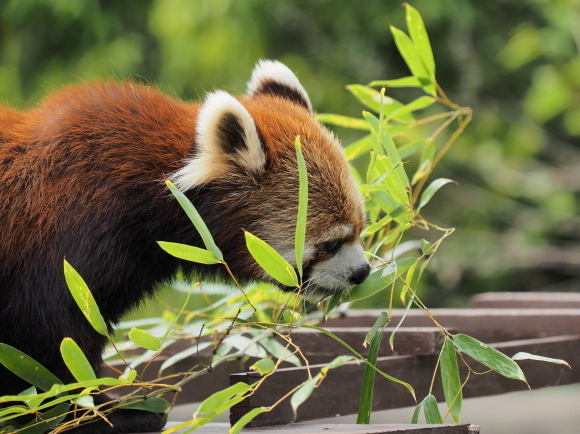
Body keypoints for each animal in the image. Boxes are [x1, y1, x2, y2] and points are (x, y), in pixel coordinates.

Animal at [0, 60, 372, 430]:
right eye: (331, 243)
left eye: (360, 228)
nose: (363, 272)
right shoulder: (66, 244)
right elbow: (49, 341)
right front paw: (99, 412)